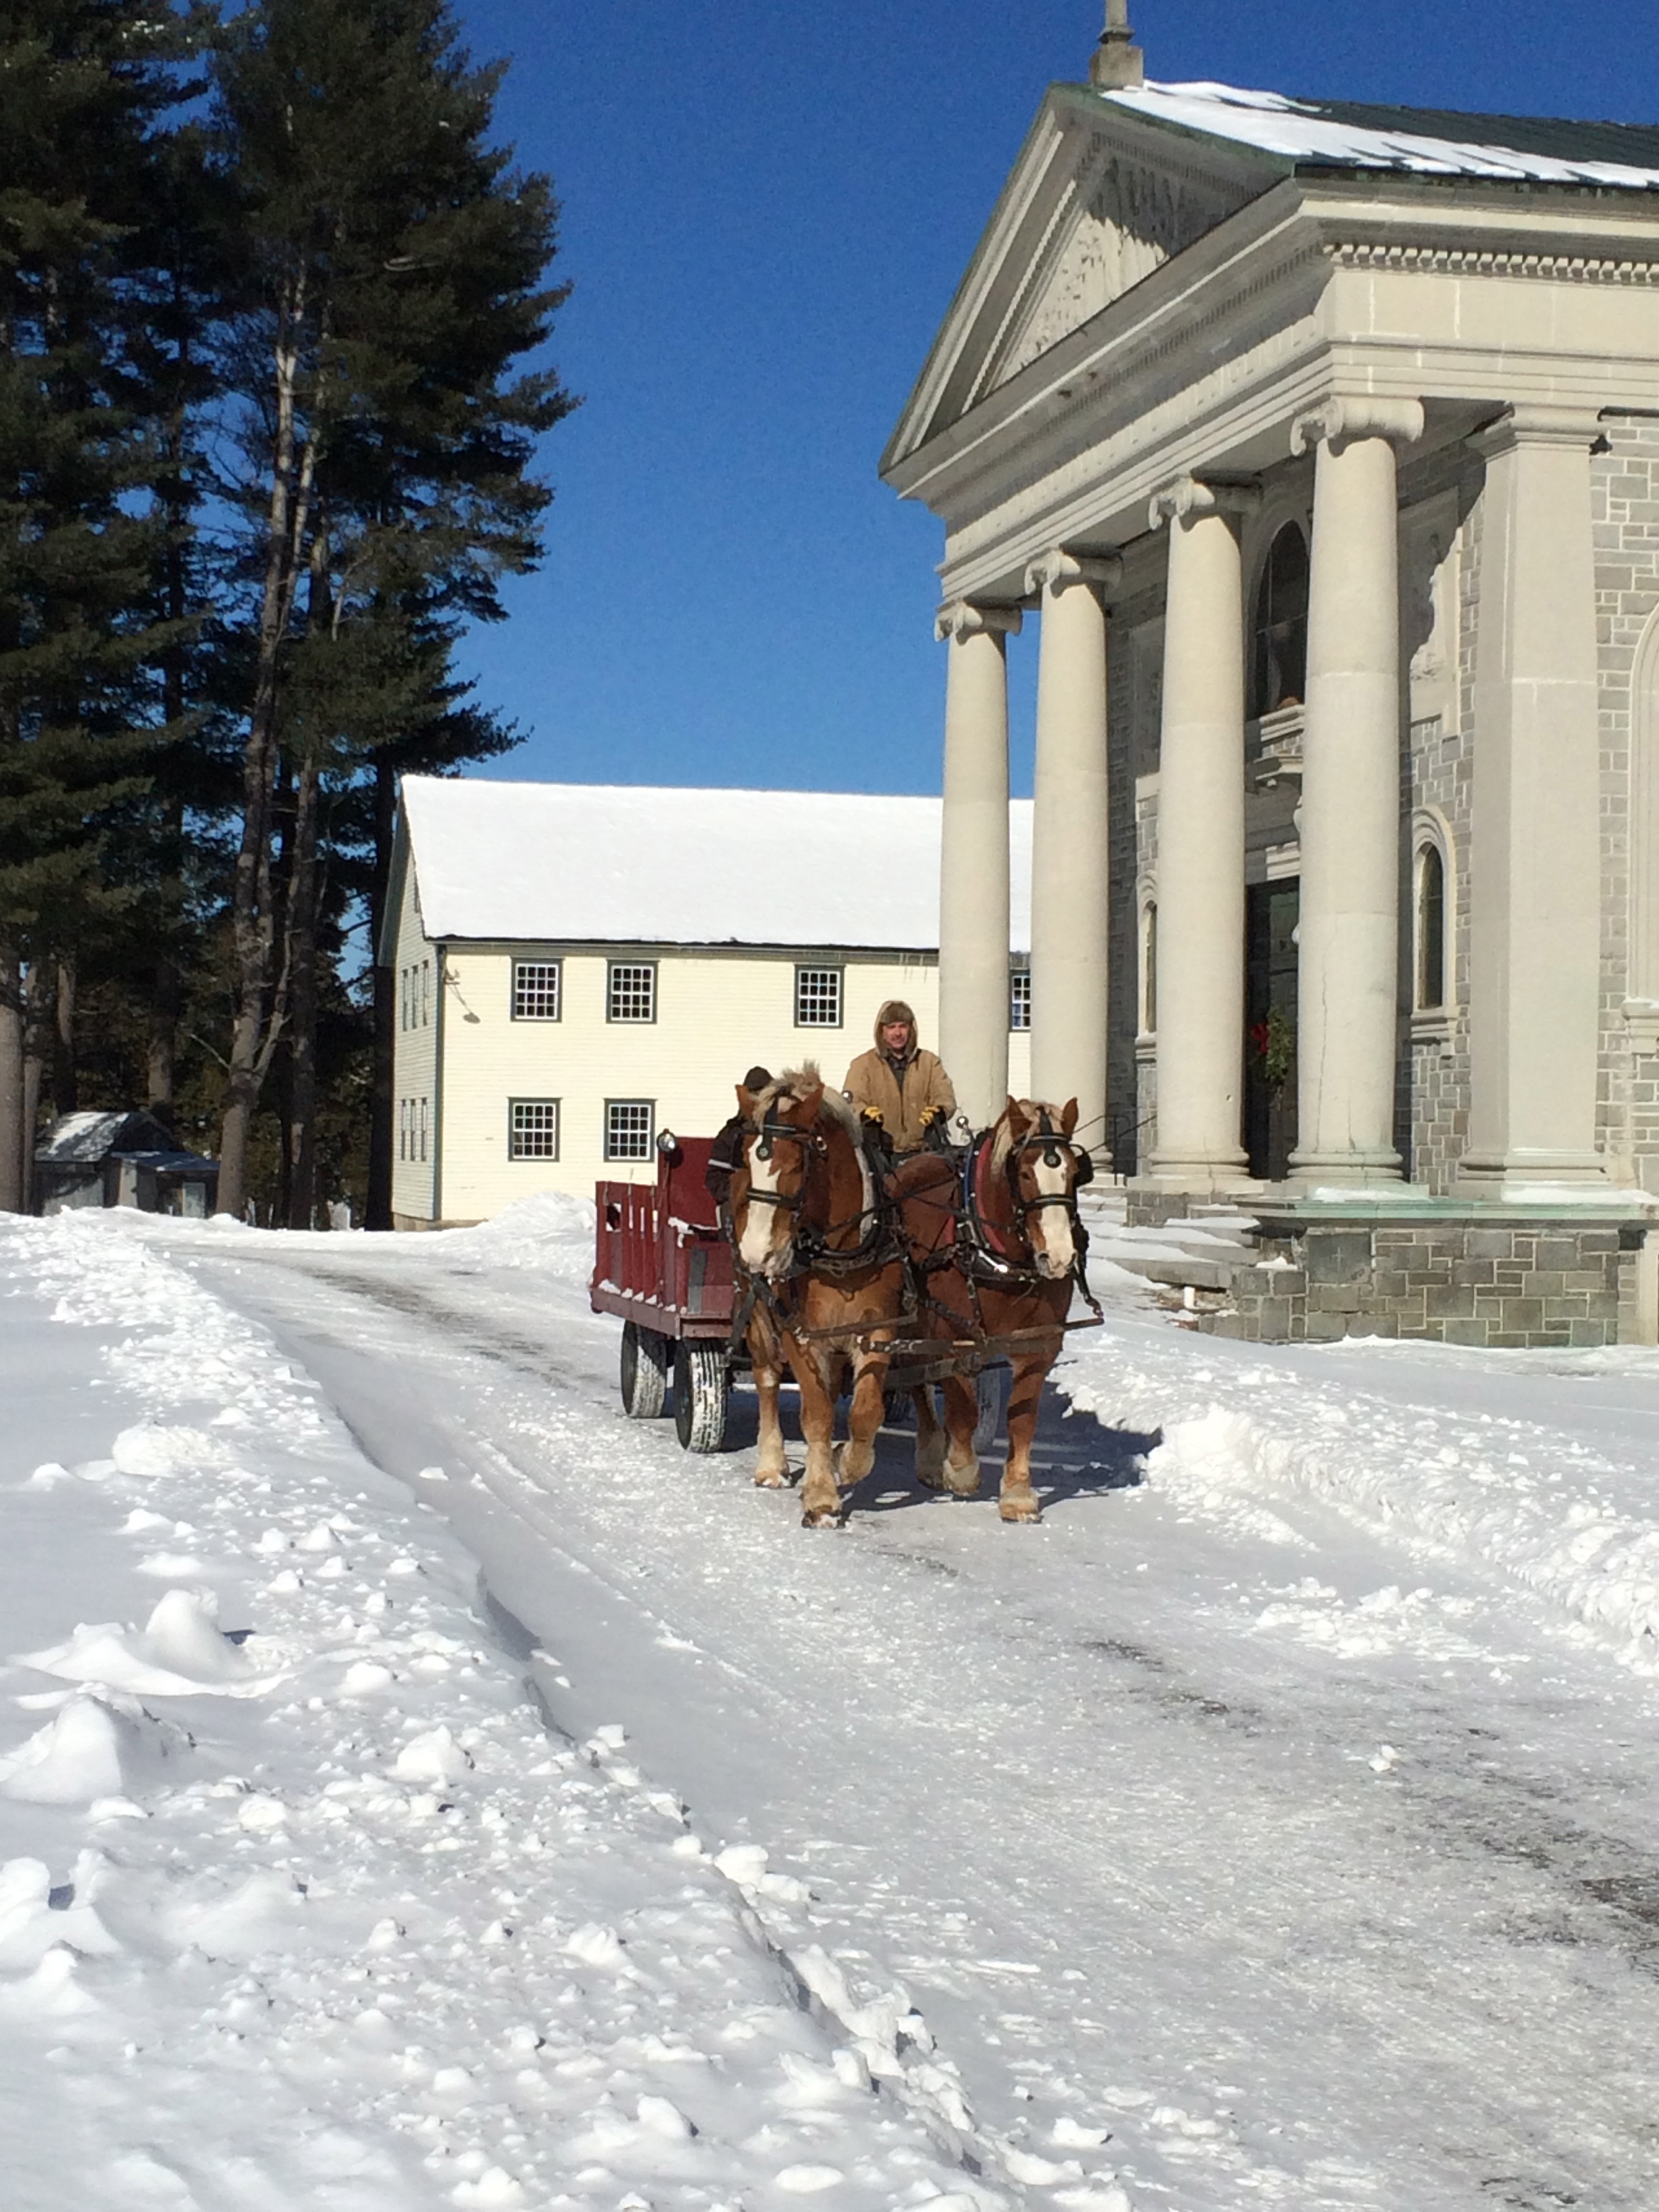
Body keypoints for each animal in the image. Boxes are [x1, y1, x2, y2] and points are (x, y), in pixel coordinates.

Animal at [728, 1068, 909, 1527]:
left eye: (797, 1164)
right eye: (748, 1162)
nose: (758, 1252)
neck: (843, 1254)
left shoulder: (878, 1329)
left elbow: (865, 1413)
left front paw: (845, 1461)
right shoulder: (800, 1334)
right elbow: (816, 1412)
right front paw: (822, 1497)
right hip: (756, 1310)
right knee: (767, 1379)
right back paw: (772, 1464)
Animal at [892, 1096, 1096, 1524]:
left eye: (1075, 1171)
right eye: (1024, 1174)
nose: (1059, 1257)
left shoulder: (1040, 1343)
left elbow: (1022, 1418)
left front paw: (1018, 1494)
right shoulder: (955, 1336)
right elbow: (963, 1408)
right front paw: (961, 1470)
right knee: (915, 1379)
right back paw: (932, 1457)